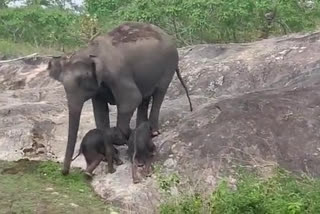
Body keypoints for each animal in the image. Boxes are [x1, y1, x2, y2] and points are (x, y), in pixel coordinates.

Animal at [47, 21, 192, 176]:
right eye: (62, 83)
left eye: (82, 80)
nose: (64, 172)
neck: (90, 51)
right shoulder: (99, 88)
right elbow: (99, 111)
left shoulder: (118, 74)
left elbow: (132, 99)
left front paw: (125, 137)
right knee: (145, 98)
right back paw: (142, 127)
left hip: (169, 65)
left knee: (158, 93)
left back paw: (153, 132)